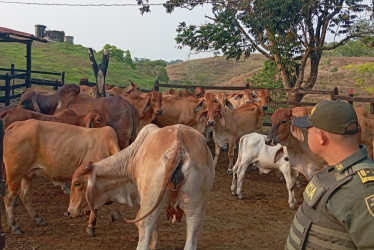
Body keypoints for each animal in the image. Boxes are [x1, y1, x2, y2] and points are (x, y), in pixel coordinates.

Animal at [67, 124, 213, 249]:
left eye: (77, 183)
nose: (69, 211)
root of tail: (177, 148)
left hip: (151, 205)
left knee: (143, 230)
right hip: (195, 211)